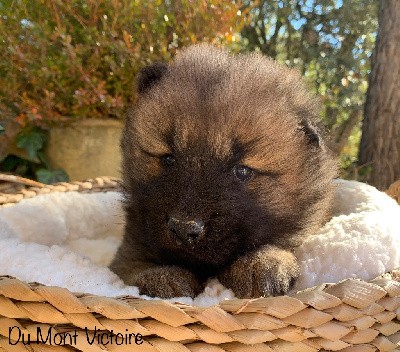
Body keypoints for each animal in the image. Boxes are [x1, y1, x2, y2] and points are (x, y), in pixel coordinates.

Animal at [110, 43, 338, 296]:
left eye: (243, 171)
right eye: (168, 159)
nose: (184, 228)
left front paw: (261, 264)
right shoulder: (131, 246)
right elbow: (135, 264)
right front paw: (163, 278)